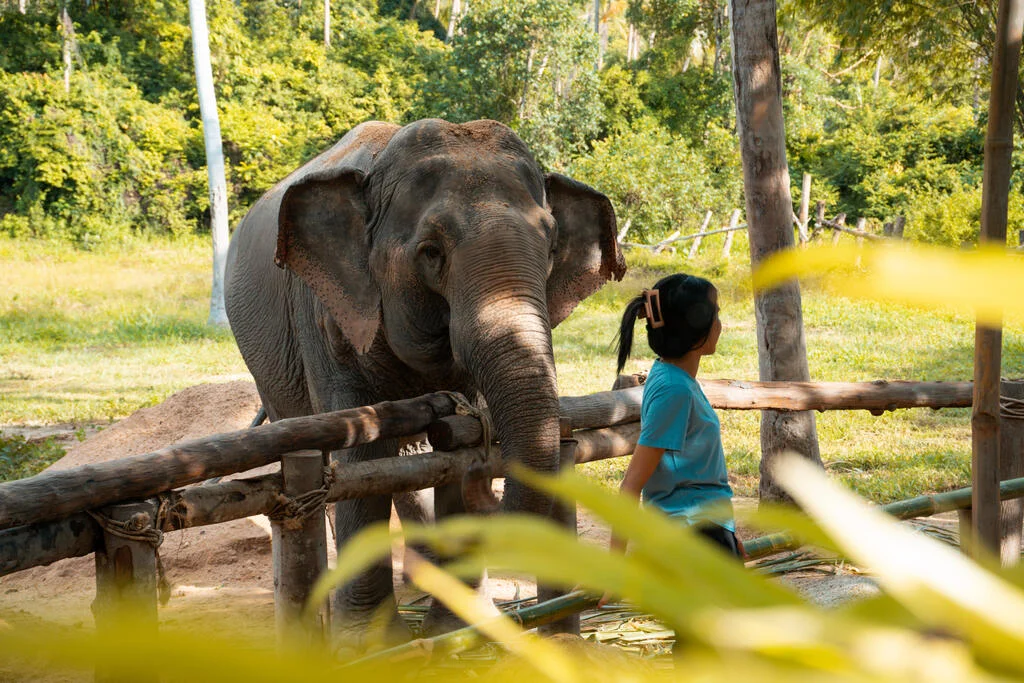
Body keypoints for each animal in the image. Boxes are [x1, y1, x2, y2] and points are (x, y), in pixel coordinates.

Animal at [224, 117, 622, 643]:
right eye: (431, 252)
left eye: (552, 246)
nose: (486, 482)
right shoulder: (323, 314)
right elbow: (362, 450)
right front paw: (371, 641)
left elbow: (454, 440)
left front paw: (456, 628)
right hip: (265, 363)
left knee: (411, 457)